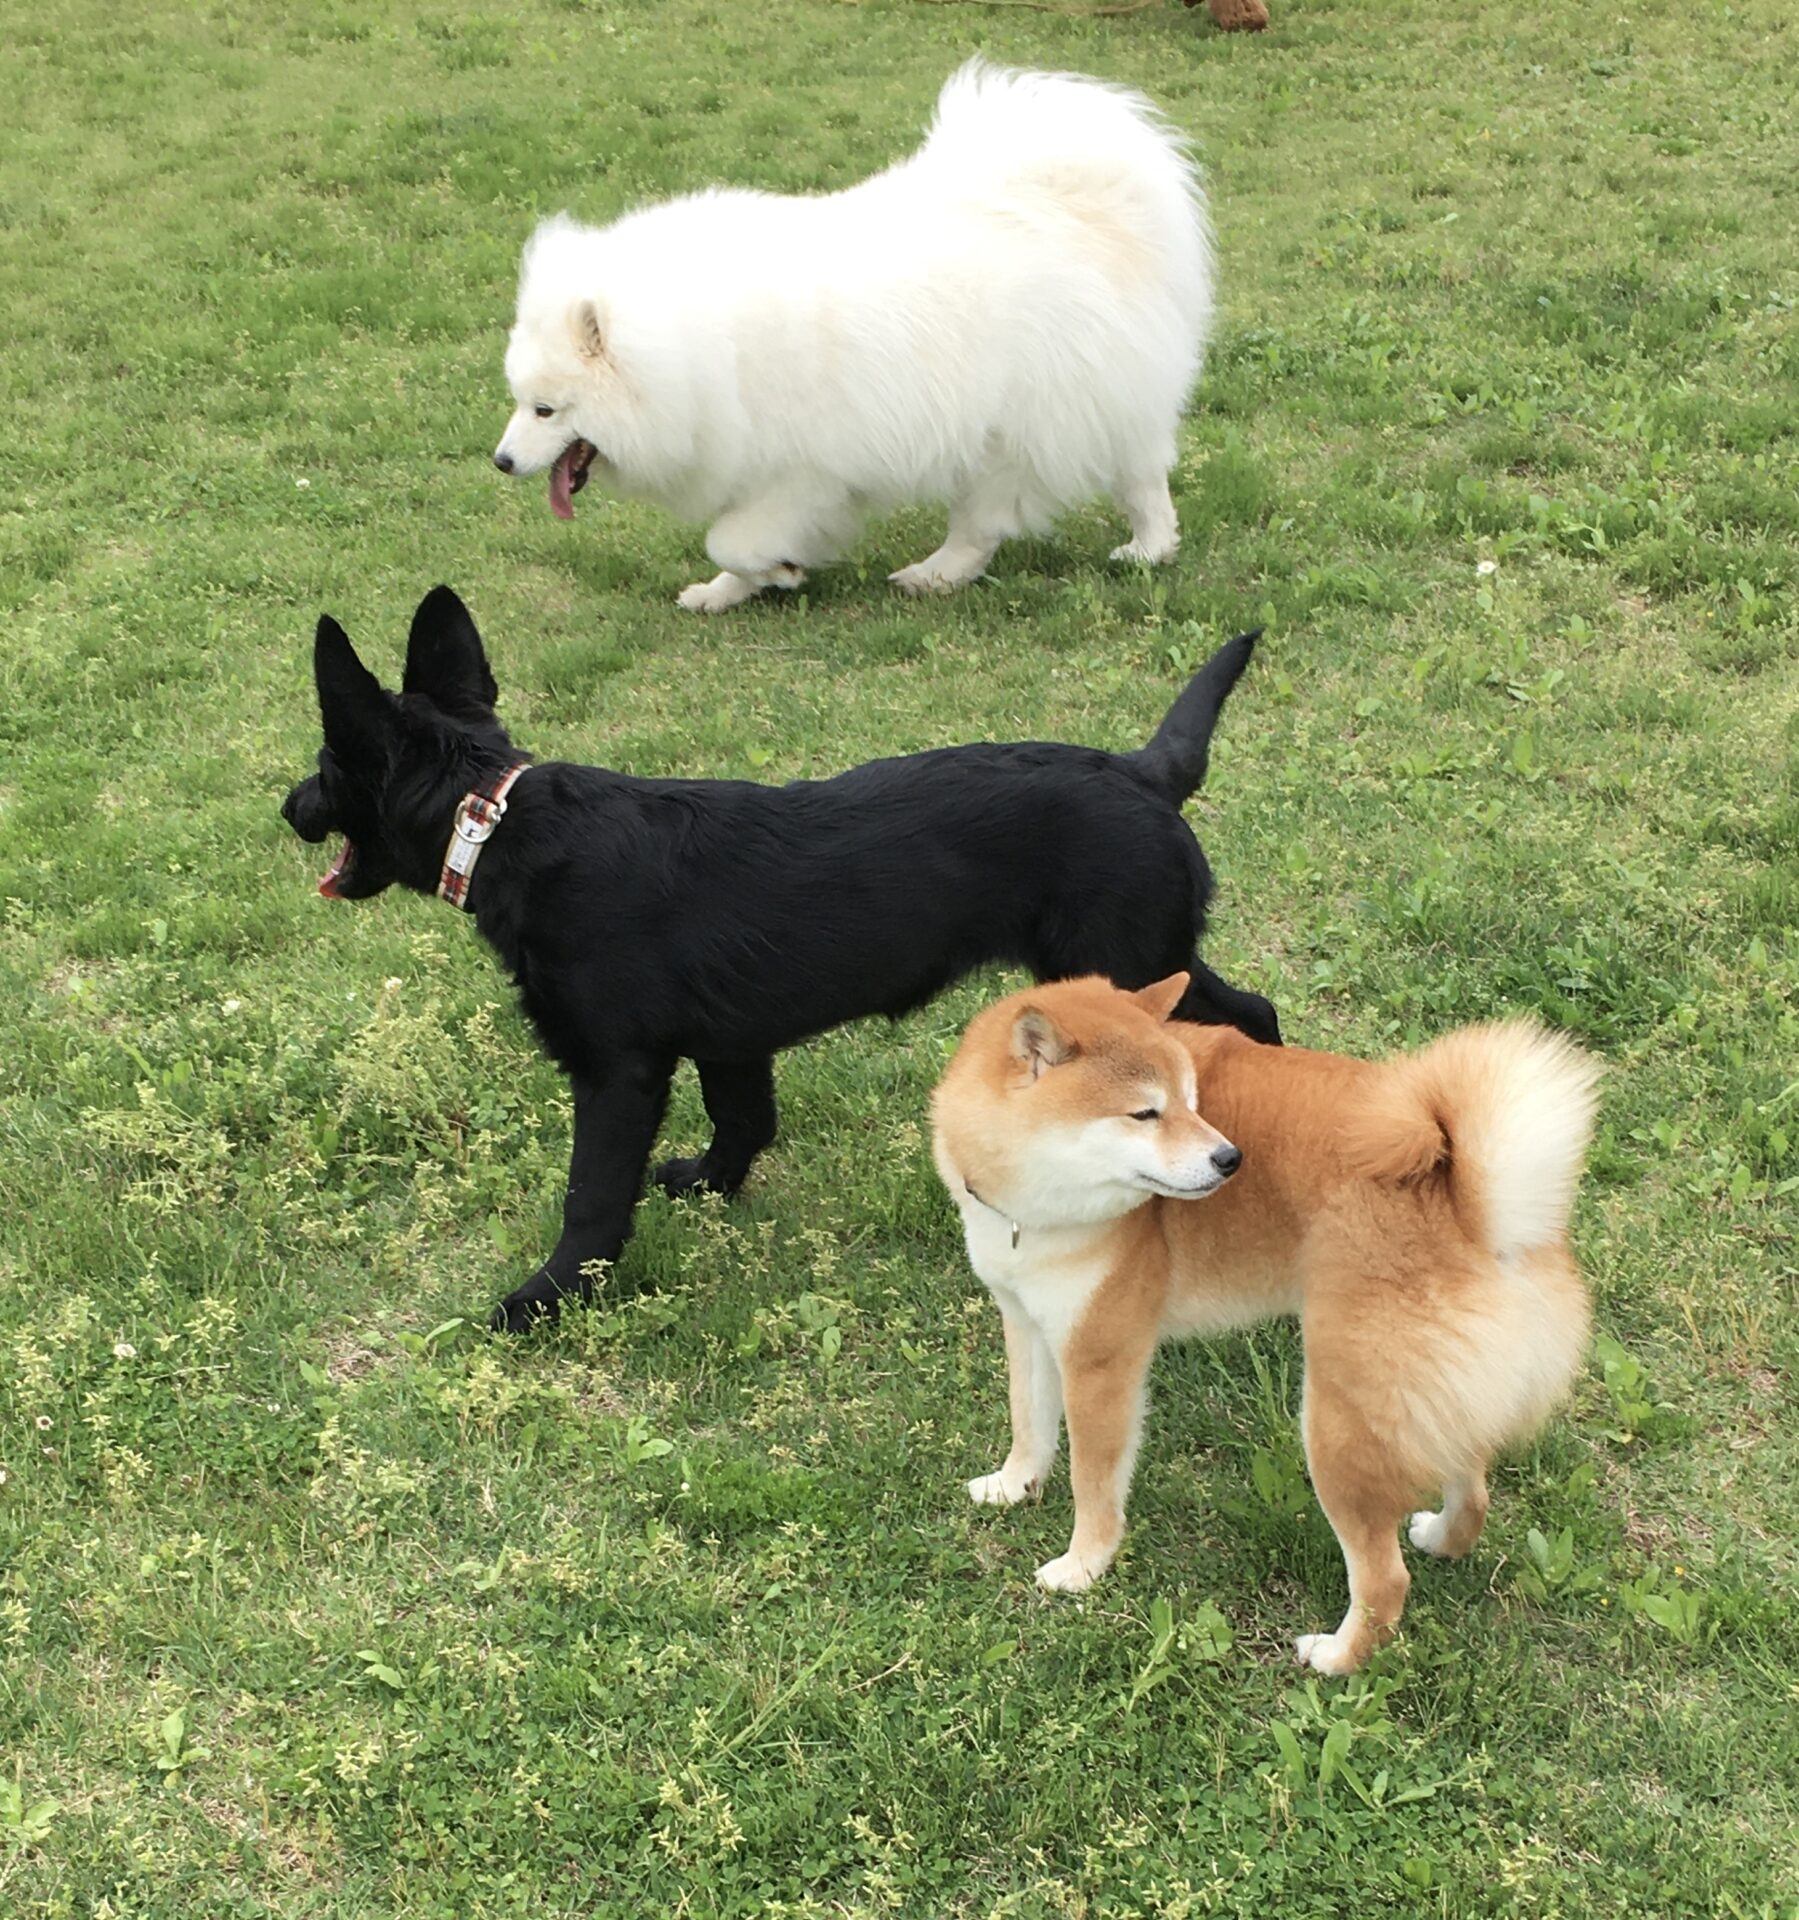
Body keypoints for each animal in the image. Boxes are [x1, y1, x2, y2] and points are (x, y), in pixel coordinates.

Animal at [280, 587, 1280, 1332]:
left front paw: (548, 1296)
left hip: (1125, 964)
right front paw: (708, 1185)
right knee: (1254, 1012)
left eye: (328, 762)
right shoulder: (729, 1042)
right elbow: (744, 1121)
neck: (494, 821)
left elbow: (591, 1197)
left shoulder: (617, 1073)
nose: (287, 808)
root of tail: (1143, 773)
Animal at [492, 62, 1213, 612]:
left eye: (545, 410)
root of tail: (1080, 204)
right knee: (1141, 475)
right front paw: (729, 590)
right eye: (519, 401)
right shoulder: (752, 464)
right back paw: (1151, 548)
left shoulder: (803, 472)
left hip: (1015, 426)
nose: (500, 461)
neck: (694, 354)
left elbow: (730, 538)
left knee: (986, 522)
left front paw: (774, 570)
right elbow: (733, 546)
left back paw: (936, 573)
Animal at [932, 975, 1600, 1674]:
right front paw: (1014, 1486)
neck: (1030, 1207)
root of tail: (1478, 1209)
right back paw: (1443, 1539)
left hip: (1338, 1423)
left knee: (1384, 1579)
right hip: (1427, 1403)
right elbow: (1029, 1423)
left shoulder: (1100, 1360)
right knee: (1472, 1490)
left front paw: (1082, 1567)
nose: (1230, 1158)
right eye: (1146, 1114)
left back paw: (1335, 1657)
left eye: (1189, 1100)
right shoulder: (1026, 1322)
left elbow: (1093, 1481)